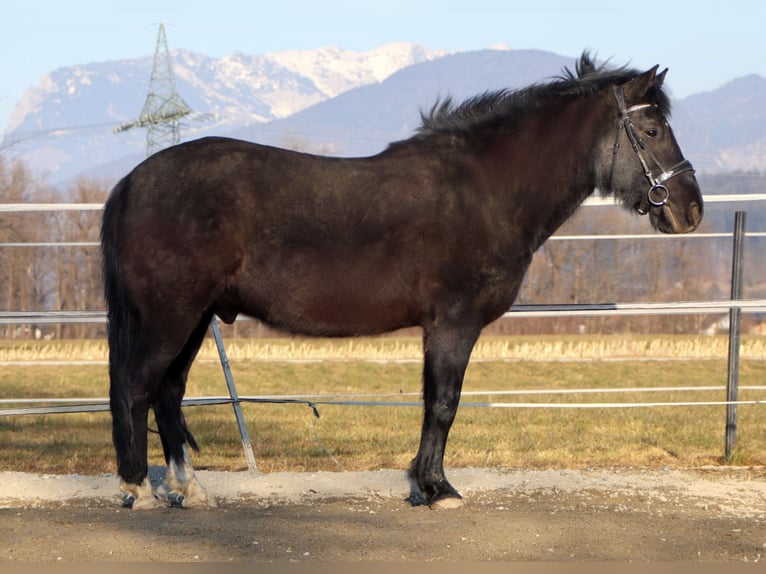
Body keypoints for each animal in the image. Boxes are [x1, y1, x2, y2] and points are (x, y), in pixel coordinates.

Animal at [102, 54, 708, 510]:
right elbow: (443, 403)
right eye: (651, 130)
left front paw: (423, 484)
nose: (691, 211)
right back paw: (140, 489)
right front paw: (438, 488)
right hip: (170, 318)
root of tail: (133, 180)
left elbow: (432, 403)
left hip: (195, 318)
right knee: (136, 388)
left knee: (168, 393)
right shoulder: (454, 325)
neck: (487, 190)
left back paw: (191, 489)